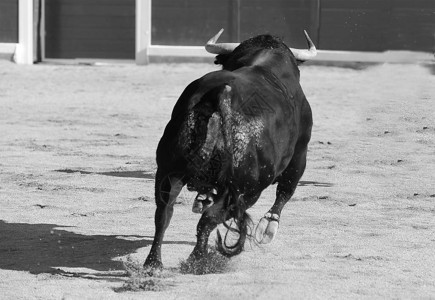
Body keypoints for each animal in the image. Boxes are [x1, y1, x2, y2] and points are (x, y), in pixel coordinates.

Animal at [145, 31, 316, 270]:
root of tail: (221, 93)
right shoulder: (300, 153)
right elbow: (286, 190)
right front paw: (268, 227)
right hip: (248, 188)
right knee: (208, 219)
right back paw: (198, 261)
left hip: (167, 169)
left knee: (164, 212)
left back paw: (153, 264)